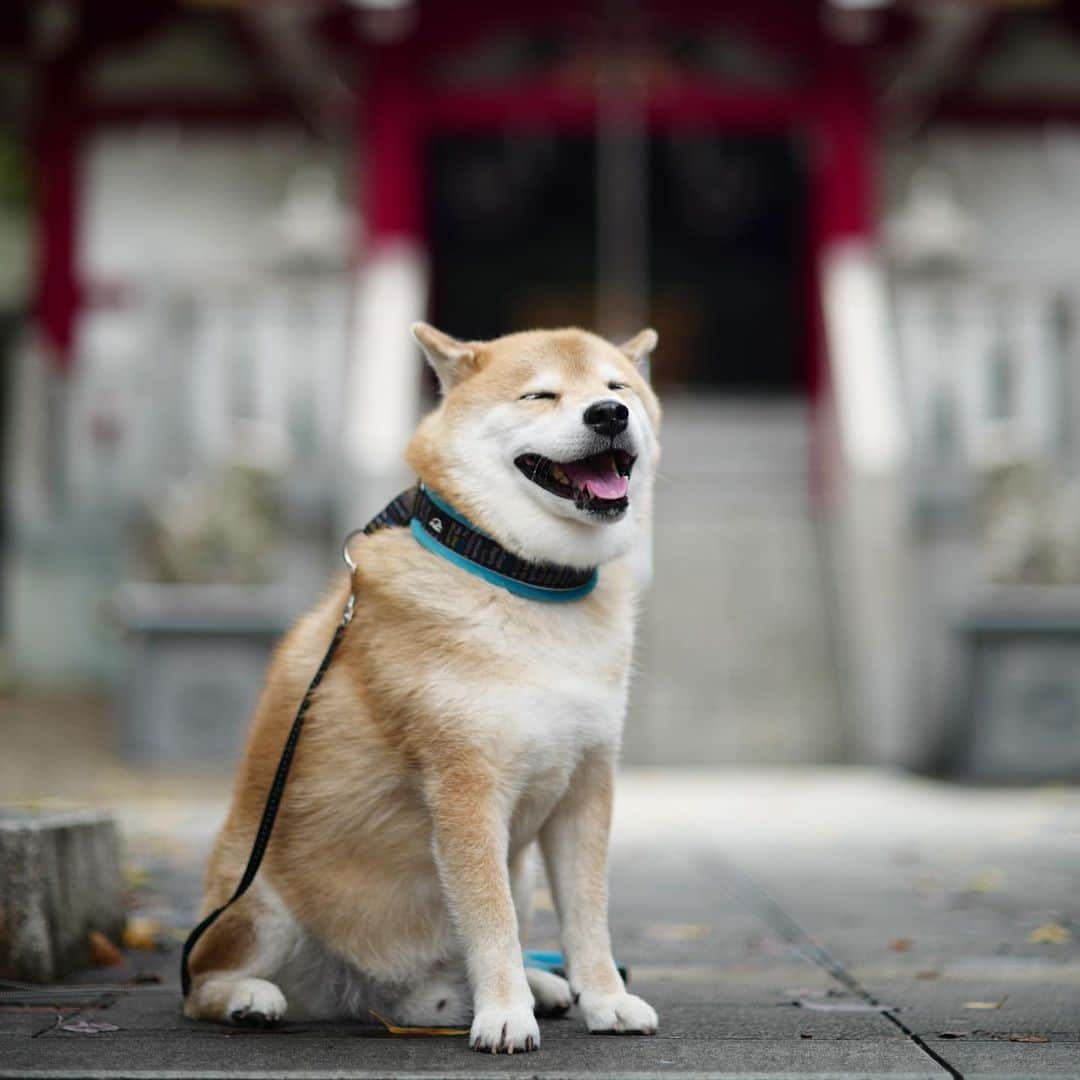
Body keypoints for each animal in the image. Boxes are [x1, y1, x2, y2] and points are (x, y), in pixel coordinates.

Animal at [183, 321, 656, 1054]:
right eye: (541, 394)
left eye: (618, 387)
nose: (608, 415)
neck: (524, 578)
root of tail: (355, 994)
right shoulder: (465, 788)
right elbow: (490, 917)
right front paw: (505, 1015)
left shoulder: (585, 787)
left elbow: (588, 917)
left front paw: (605, 999)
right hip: (258, 897)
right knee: (200, 983)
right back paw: (248, 998)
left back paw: (533, 984)